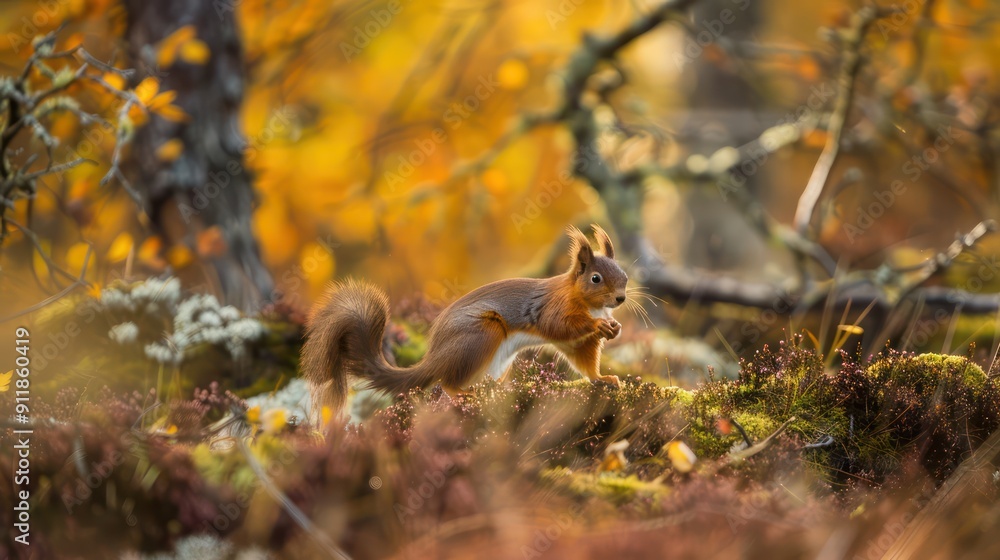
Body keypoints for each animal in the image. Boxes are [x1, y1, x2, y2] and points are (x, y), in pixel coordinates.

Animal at [301, 224, 629, 422]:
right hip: (481, 335)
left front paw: (606, 372)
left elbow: (586, 362)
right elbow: (561, 325)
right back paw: (460, 394)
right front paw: (601, 327)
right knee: (446, 382)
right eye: (595, 278)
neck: (589, 306)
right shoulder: (551, 309)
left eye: (624, 274)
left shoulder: (578, 346)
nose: (621, 298)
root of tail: (434, 358)